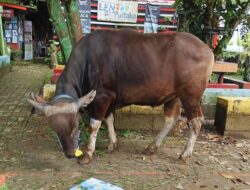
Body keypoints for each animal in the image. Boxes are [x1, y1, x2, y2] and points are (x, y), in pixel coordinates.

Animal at [28, 29, 214, 164]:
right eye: (54, 127)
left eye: (75, 125)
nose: (69, 154)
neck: (88, 61)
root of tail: (207, 50)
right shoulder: (108, 99)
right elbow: (109, 119)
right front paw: (112, 144)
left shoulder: (102, 96)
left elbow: (94, 125)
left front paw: (88, 154)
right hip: (173, 96)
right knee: (171, 119)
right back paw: (152, 147)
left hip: (191, 95)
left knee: (196, 121)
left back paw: (185, 153)